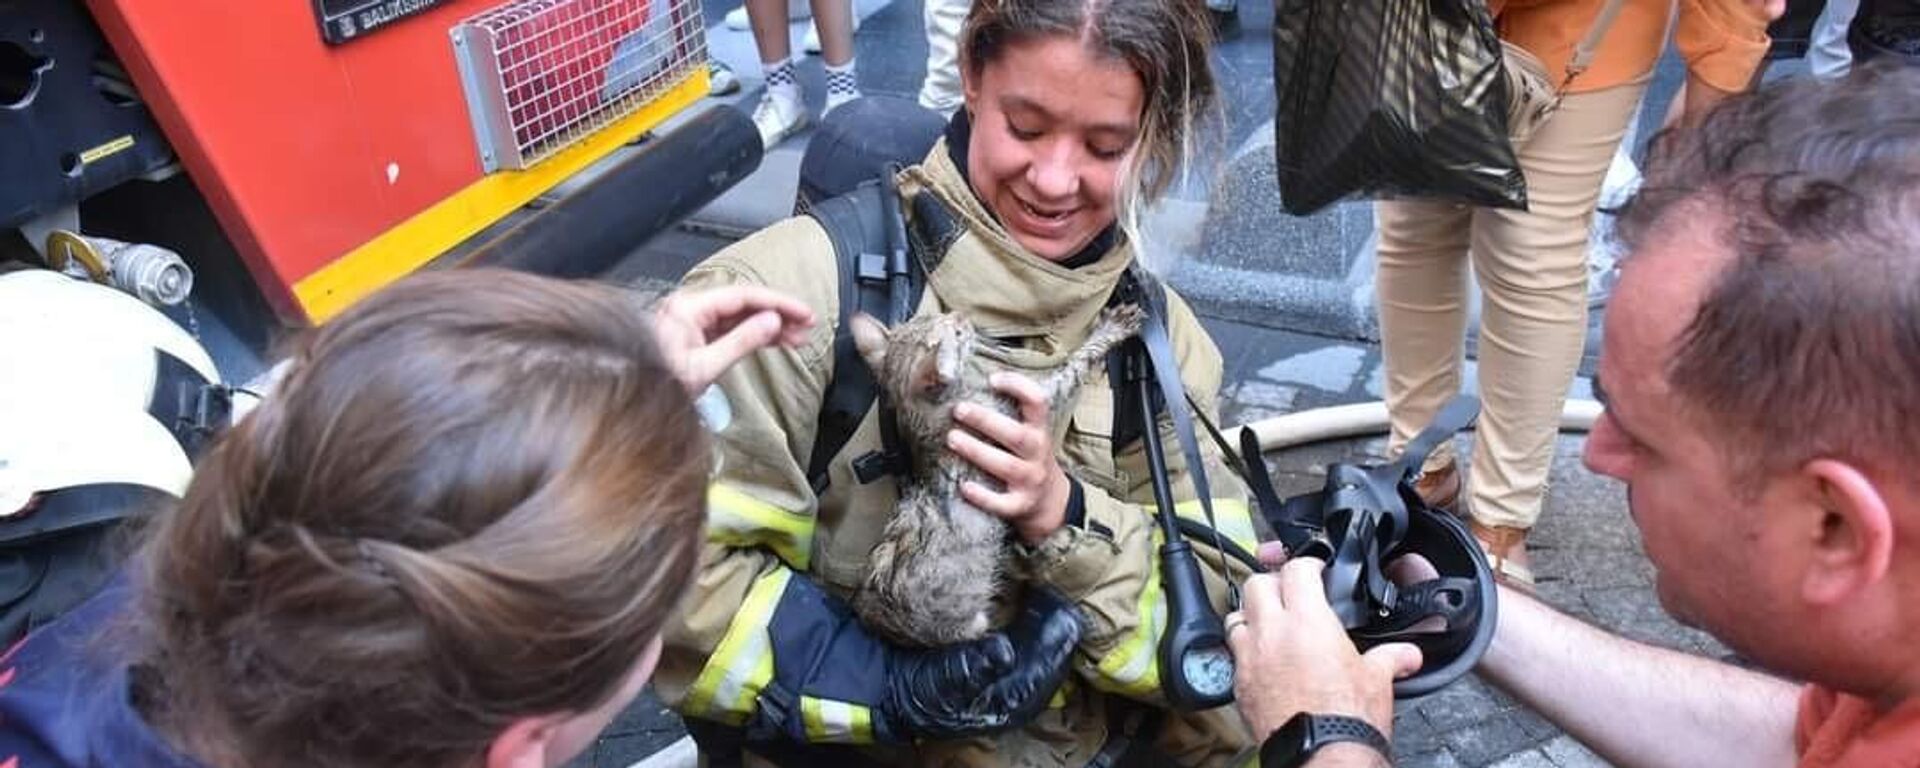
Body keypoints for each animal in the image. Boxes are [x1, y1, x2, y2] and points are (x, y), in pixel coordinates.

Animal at [852, 303, 1136, 645]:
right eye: (957, 333)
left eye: (929, 318)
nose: (961, 315)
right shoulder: (1023, 405)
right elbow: (1072, 367)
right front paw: (1109, 332)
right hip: (966, 623)